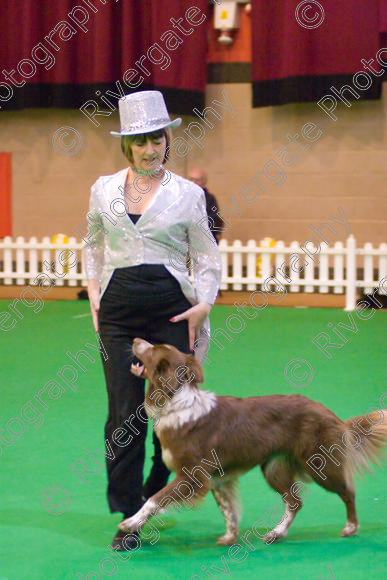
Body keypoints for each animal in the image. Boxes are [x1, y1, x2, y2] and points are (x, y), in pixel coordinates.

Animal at [119, 338, 386, 548]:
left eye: (154, 349)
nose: (135, 339)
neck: (175, 403)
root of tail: (335, 417)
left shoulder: (191, 476)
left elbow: (154, 499)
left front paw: (130, 522)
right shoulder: (218, 478)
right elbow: (228, 510)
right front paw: (230, 537)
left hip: (319, 464)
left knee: (347, 491)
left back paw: (350, 527)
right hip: (274, 468)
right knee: (294, 502)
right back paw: (276, 533)